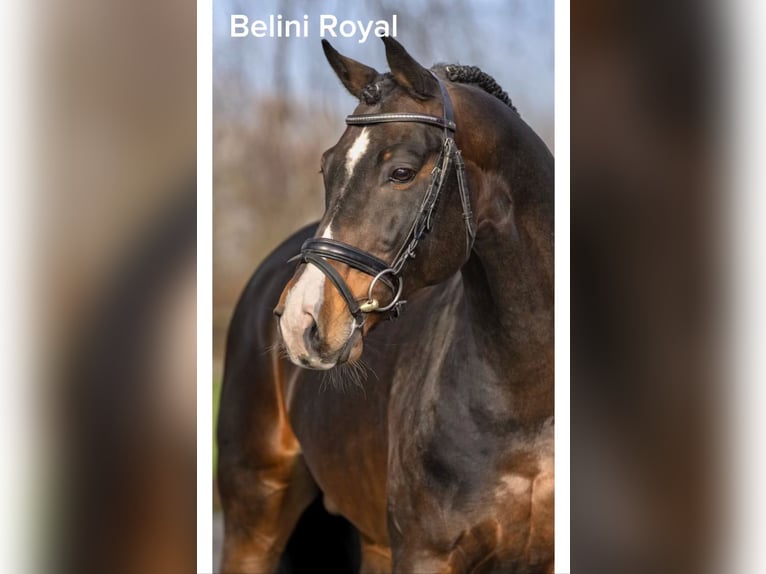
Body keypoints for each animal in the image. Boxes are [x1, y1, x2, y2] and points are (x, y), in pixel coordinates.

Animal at [219, 38, 556, 572]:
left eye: (401, 171)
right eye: (327, 167)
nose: (299, 322)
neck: (527, 405)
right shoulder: (424, 554)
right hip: (251, 523)